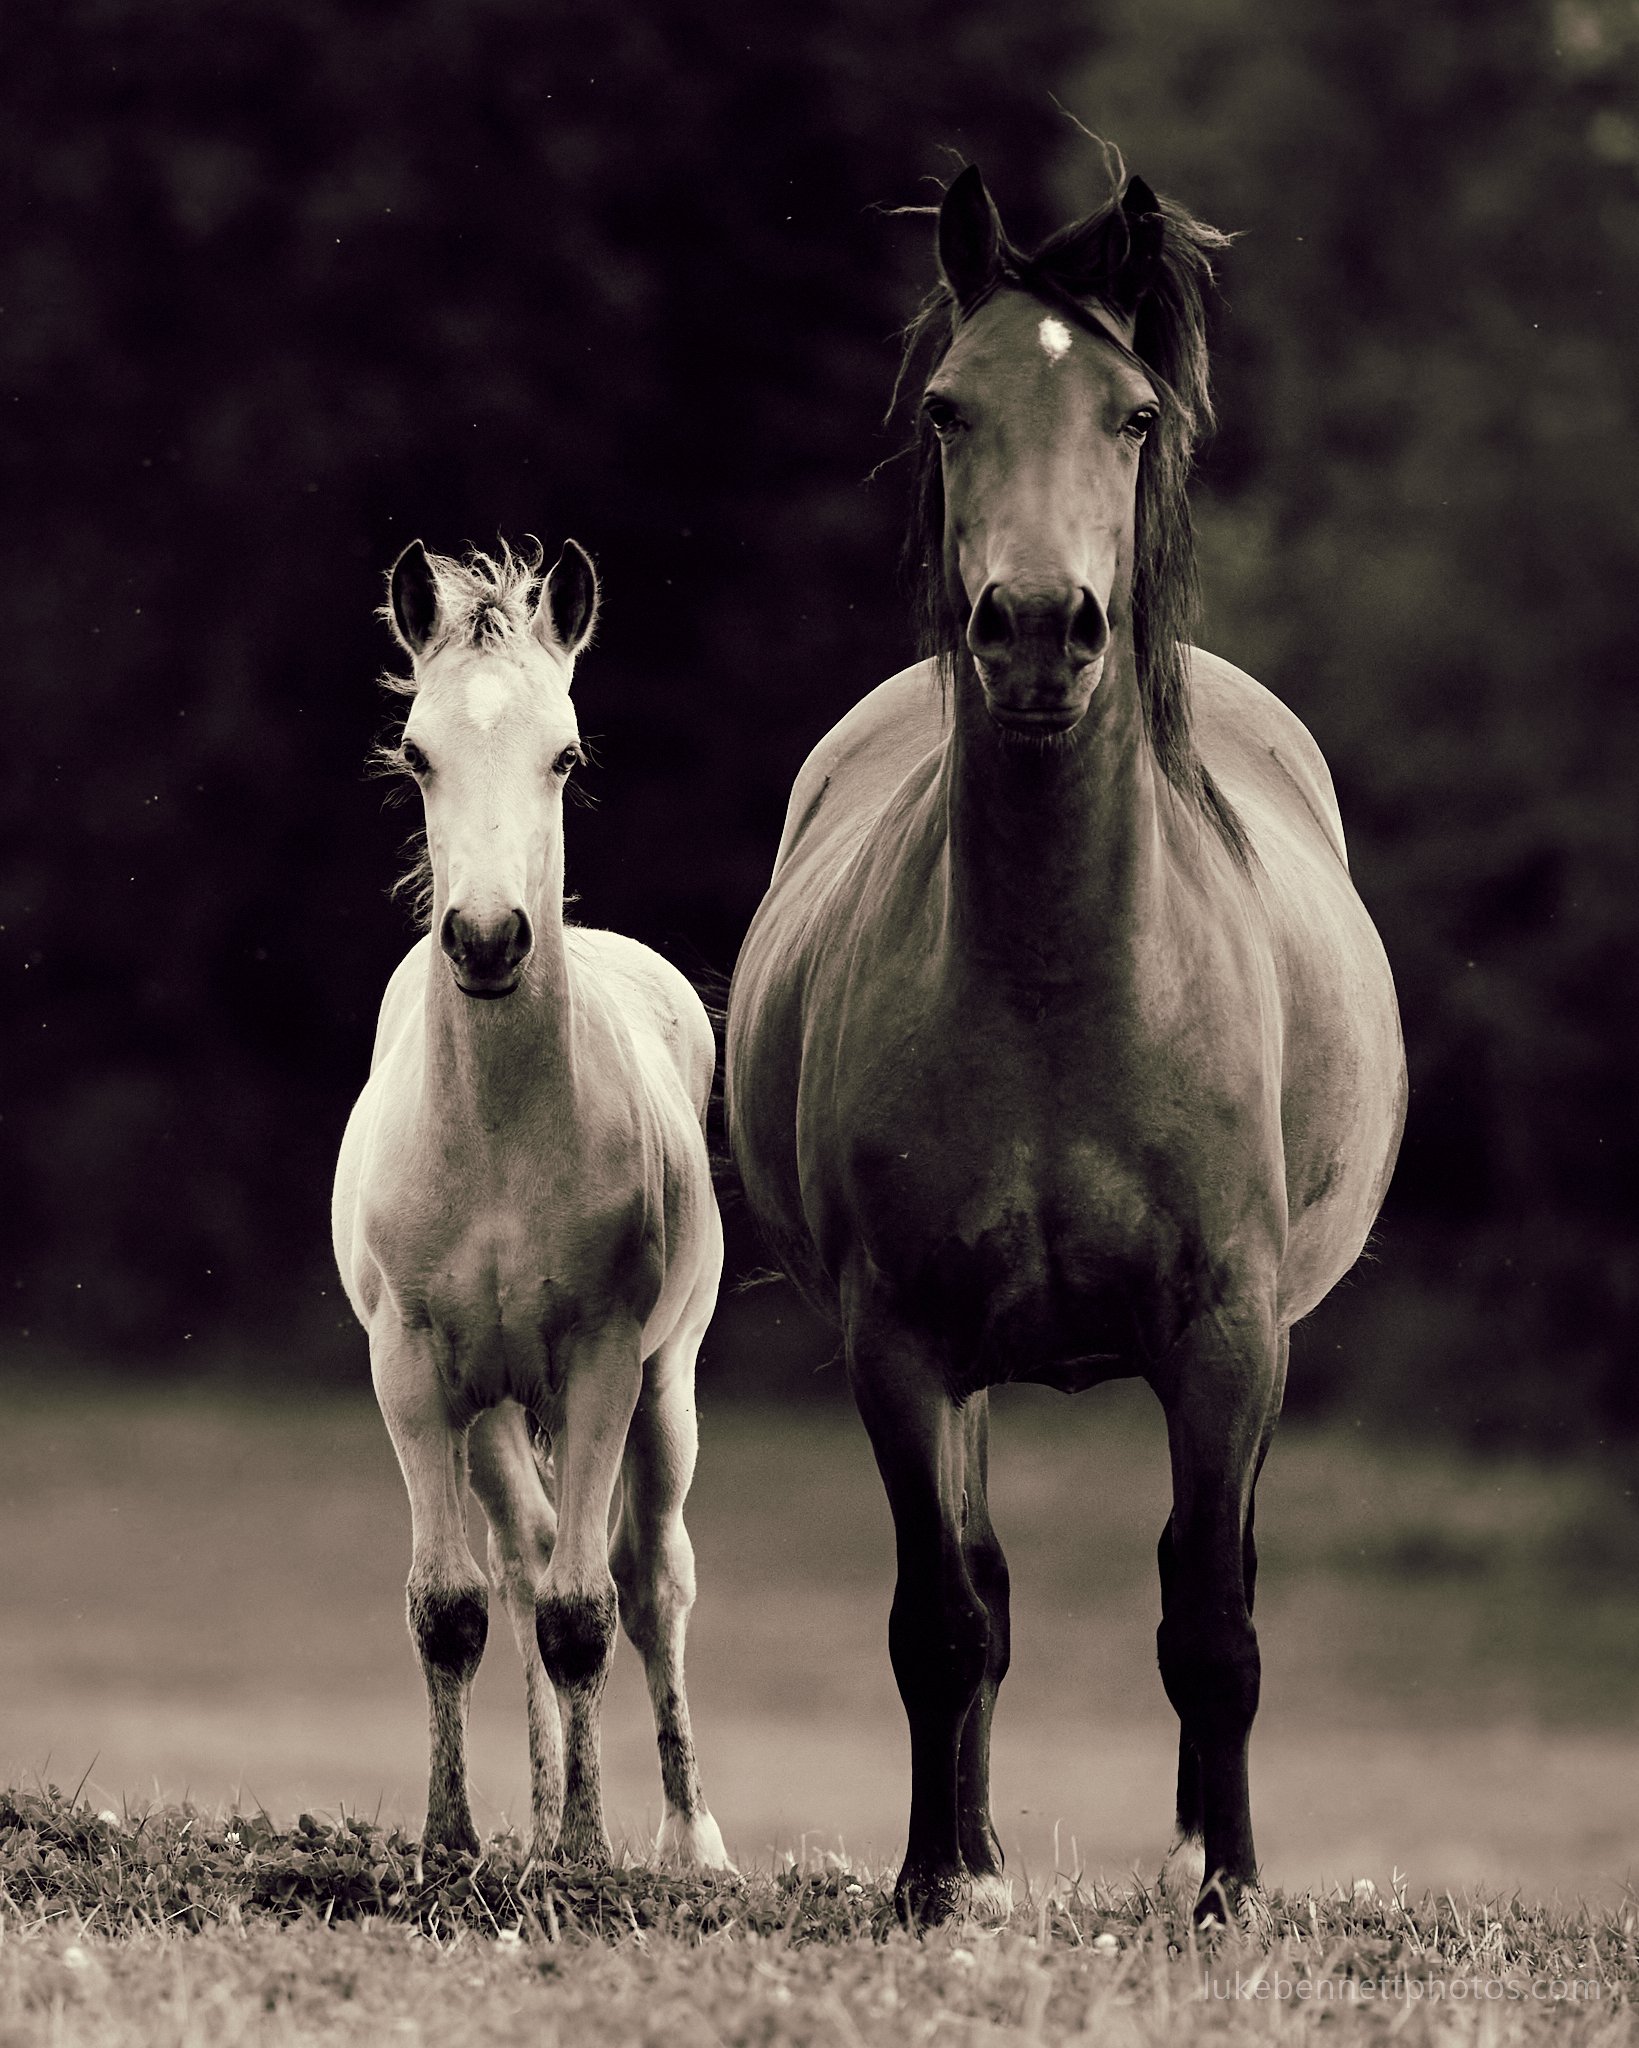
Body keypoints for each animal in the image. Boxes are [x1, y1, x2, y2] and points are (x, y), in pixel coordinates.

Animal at [331, 540, 729, 1875]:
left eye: (565, 753)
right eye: (416, 753)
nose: (491, 936)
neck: (503, 1135)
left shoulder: (604, 1360)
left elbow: (584, 1609)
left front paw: (587, 1854)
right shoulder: (408, 1365)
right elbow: (451, 1605)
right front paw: (452, 1840)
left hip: (666, 1381)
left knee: (649, 1577)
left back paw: (686, 1836)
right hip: (495, 1406)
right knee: (517, 1557)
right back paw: (543, 1801)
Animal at [729, 167, 1409, 1925]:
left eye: (1131, 412)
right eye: (948, 409)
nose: (1037, 629)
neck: (1060, 980)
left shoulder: (1229, 1341)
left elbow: (1212, 1624)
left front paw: (1226, 1890)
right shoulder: (898, 1345)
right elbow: (941, 1618)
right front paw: (929, 1883)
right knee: (978, 1593)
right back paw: (970, 1853)